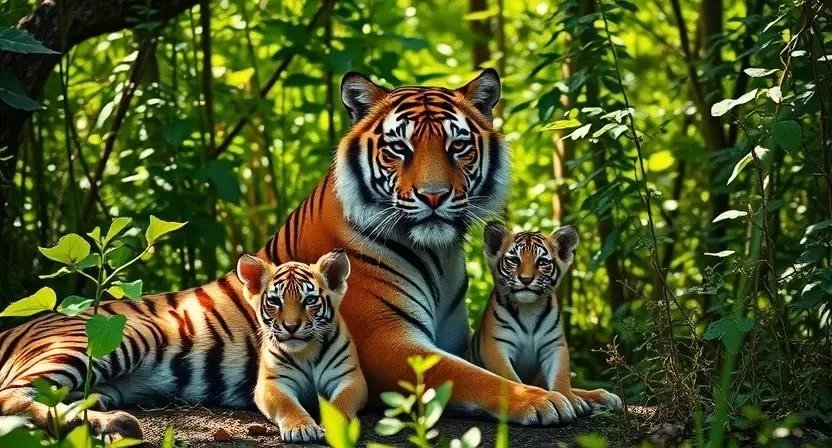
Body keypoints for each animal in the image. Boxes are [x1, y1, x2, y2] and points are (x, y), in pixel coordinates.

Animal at [236, 249, 367, 443]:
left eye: (310, 300)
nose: (291, 326)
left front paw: (335, 429)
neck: (307, 351)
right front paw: (301, 428)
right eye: (275, 301)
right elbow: (287, 403)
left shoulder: (349, 377)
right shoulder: (273, 381)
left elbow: (341, 403)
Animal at [468, 221, 623, 414]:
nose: (526, 279)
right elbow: (512, 379)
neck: (528, 309)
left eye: (541, 262)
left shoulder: (554, 346)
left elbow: (561, 378)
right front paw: (530, 398)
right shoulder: (496, 346)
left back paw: (604, 397)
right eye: (514, 260)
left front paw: (571, 400)